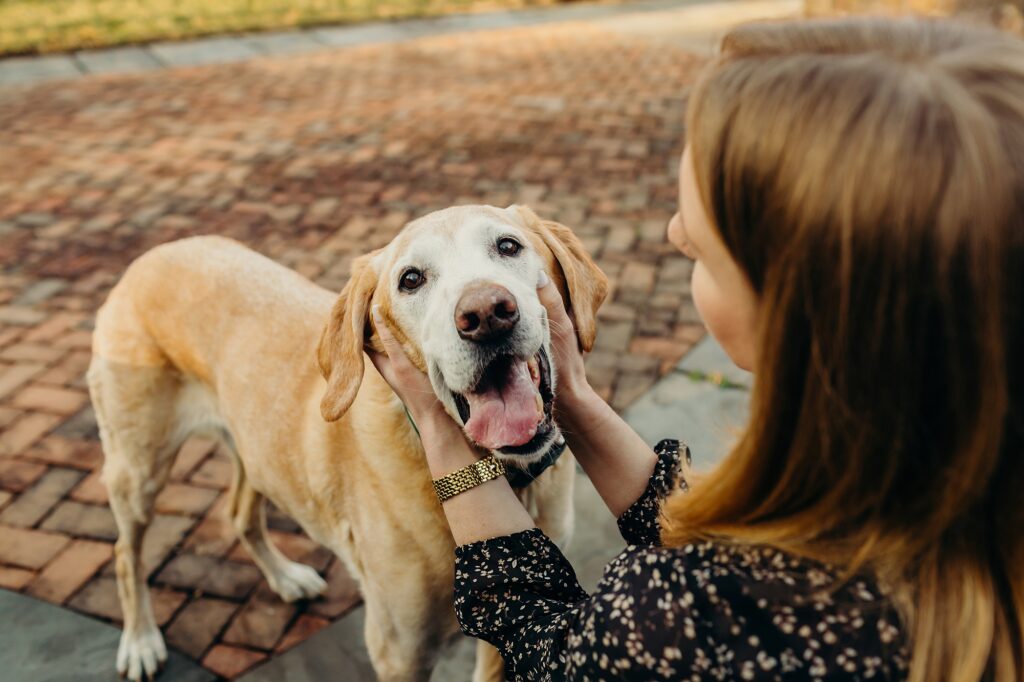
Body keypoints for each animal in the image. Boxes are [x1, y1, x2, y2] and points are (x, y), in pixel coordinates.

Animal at [88, 204, 606, 675]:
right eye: (411, 279)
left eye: (508, 246)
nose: (486, 313)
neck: (508, 480)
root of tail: (151, 254)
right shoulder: (400, 650)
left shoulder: (519, 620)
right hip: (139, 470)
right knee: (124, 554)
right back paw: (139, 641)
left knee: (239, 514)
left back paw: (285, 577)